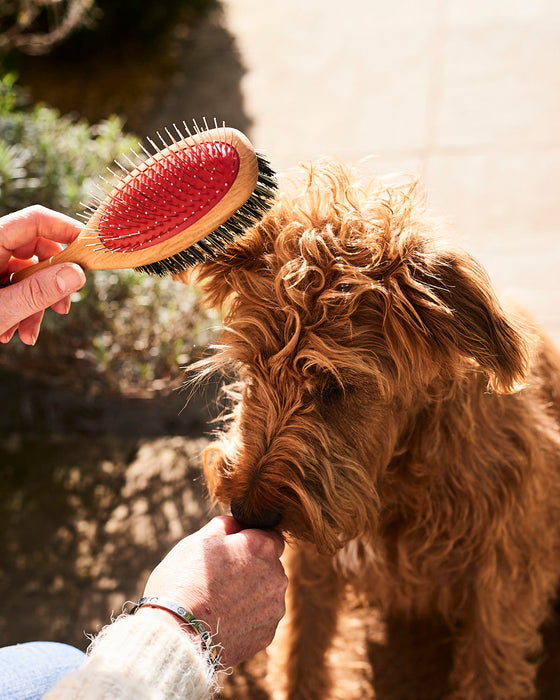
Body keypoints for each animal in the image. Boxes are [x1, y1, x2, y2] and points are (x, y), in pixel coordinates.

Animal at [183, 161, 560, 696]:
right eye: (252, 366)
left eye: (334, 386)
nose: (248, 511)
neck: (396, 476)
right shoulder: (314, 562)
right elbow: (302, 652)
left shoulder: (503, 582)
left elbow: (492, 671)